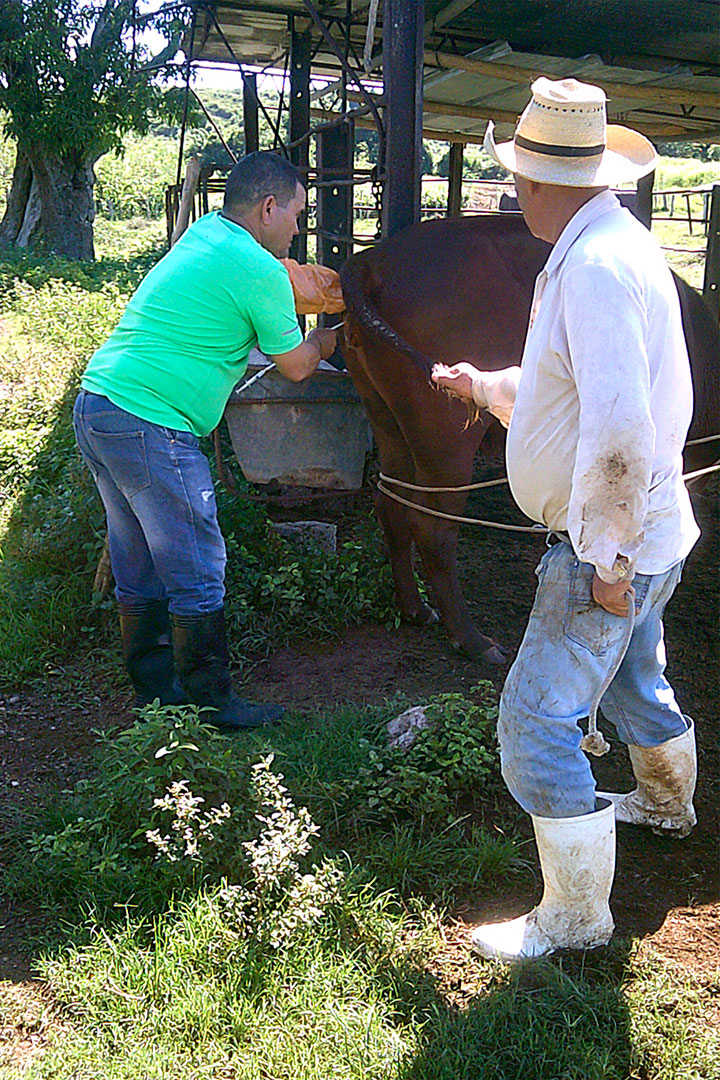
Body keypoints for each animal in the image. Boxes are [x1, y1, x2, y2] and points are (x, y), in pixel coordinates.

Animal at [338, 211, 720, 665]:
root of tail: (372, 262)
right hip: (447, 448)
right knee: (432, 529)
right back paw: (473, 640)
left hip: (388, 423)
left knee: (391, 505)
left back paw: (415, 608)